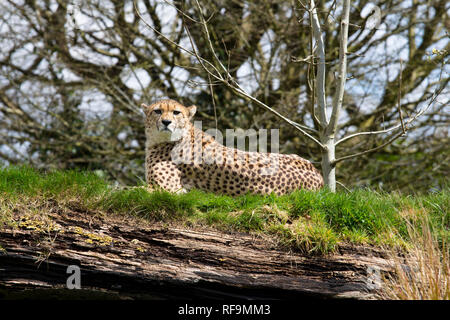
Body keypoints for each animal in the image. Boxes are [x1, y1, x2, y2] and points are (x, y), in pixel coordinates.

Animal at [142, 100, 322, 196]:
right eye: (157, 111)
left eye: (176, 112)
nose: (166, 122)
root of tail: (319, 176)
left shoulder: (170, 190)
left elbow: (137, 189)